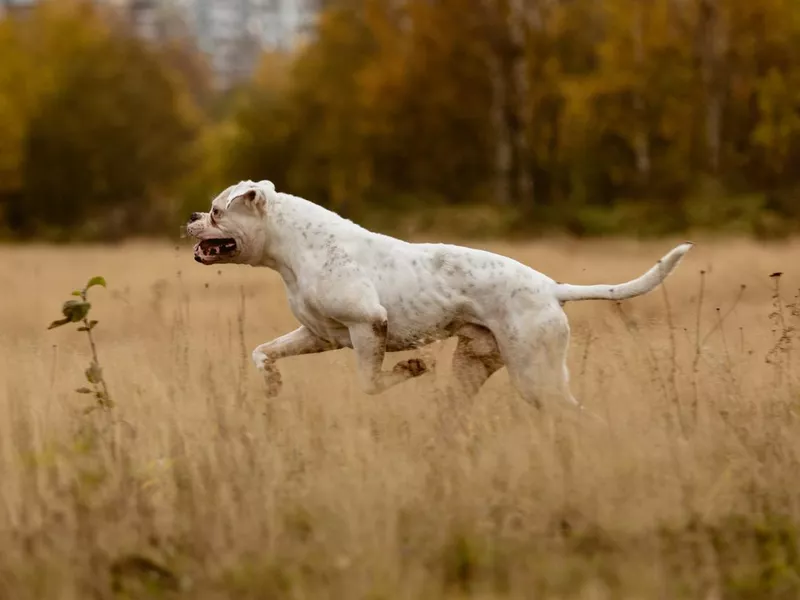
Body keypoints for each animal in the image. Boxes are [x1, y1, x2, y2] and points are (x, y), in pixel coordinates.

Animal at [184, 180, 692, 410]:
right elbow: (263, 351)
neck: (293, 248)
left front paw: (412, 367)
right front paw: (271, 384)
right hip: (474, 365)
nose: (191, 215)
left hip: (536, 373)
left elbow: (371, 383)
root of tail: (552, 287)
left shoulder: (368, 326)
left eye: (216, 211)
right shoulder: (319, 335)